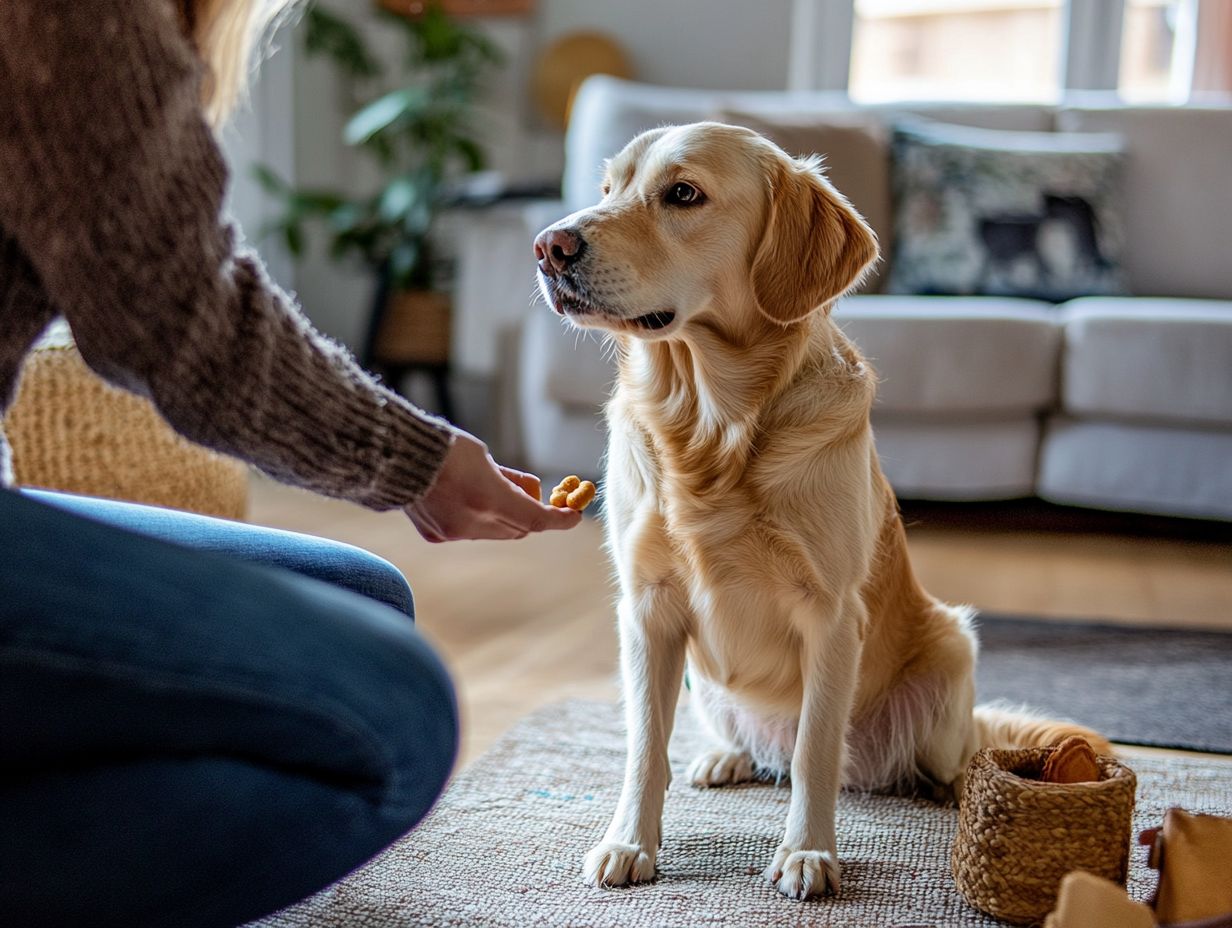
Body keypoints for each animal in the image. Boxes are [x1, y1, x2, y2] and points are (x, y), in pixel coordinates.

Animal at [529, 121, 1108, 897]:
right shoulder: (647, 607)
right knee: (745, 743)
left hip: (953, 646)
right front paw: (629, 843)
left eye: (683, 194)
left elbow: (814, 752)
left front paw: (807, 854)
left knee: (926, 756)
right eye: (606, 188)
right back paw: (725, 756)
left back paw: (955, 787)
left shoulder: (831, 615)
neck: (713, 425)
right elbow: (645, 745)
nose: (548, 246)